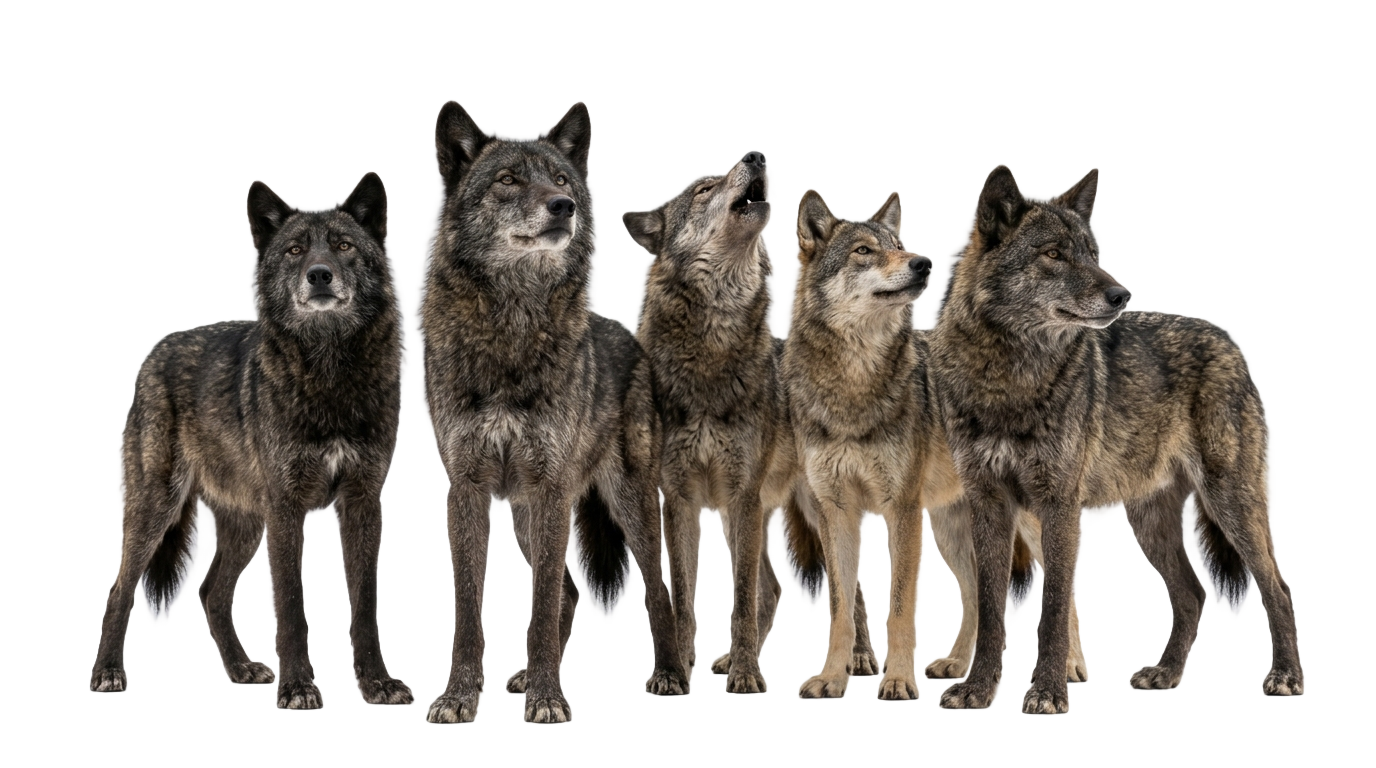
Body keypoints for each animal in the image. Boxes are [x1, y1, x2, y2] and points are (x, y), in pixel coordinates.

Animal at [89, 173, 412, 709]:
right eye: (295, 250)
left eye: (343, 246)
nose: (319, 275)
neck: (329, 375)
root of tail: (156, 351)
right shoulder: (286, 507)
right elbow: (290, 605)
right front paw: (298, 688)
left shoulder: (363, 501)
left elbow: (364, 605)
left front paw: (377, 683)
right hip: (157, 507)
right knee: (120, 589)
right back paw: (107, 673)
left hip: (244, 522)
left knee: (209, 592)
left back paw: (240, 669)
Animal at [420, 102, 686, 724]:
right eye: (508, 179)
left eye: (562, 180)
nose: (563, 205)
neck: (511, 329)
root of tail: (630, 338)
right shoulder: (467, 487)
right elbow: (469, 606)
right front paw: (460, 696)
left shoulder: (552, 488)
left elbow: (538, 602)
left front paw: (548, 700)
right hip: (526, 511)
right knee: (569, 587)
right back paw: (521, 677)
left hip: (628, 504)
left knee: (655, 589)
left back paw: (668, 675)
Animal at [623, 152, 797, 693]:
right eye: (703, 189)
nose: (756, 155)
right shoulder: (677, 495)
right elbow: (681, 594)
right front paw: (676, 668)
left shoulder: (743, 494)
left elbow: (739, 597)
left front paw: (745, 674)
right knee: (773, 589)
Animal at [933, 166, 1301, 714]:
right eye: (1054, 254)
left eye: (1090, 252)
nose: (1122, 296)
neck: (1009, 377)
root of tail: (1225, 339)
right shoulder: (989, 503)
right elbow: (991, 608)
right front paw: (975, 690)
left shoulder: (1059, 505)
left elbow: (1054, 606)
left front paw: (1048, 693)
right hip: (1149, 520)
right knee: (1192, 594)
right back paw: (1165, 673)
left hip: (1230, 501)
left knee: (1276, 586)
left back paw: (1285, 676)